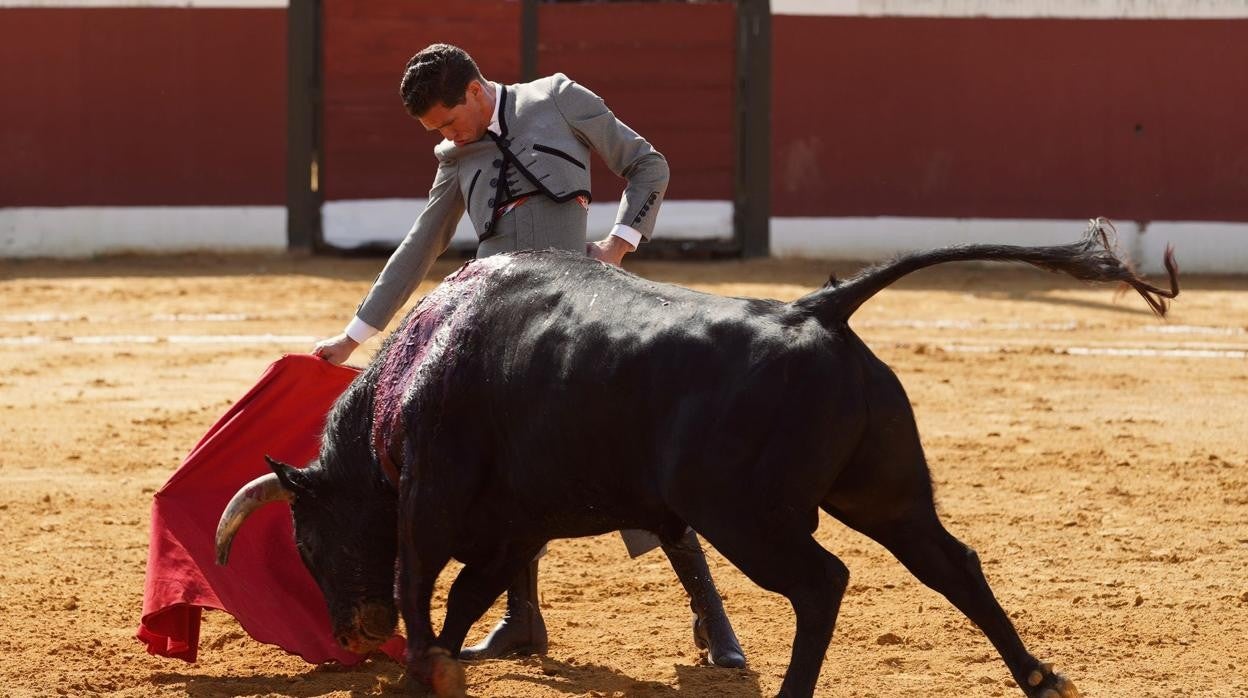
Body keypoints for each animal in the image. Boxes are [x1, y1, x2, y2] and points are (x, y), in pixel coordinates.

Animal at [214, 224, 1178, 698]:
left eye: (308, 539)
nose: (351, 633)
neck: (416, 368)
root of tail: (817, 312)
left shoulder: (431, 498)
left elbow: (423, 584)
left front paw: (421, 669)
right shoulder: (509, 524)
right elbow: (466, 598)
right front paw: (445, 664)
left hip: (746, 517)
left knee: (823, 582)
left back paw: (792, 693)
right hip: (887, 495)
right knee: (954, 565)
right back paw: (1041, 678)